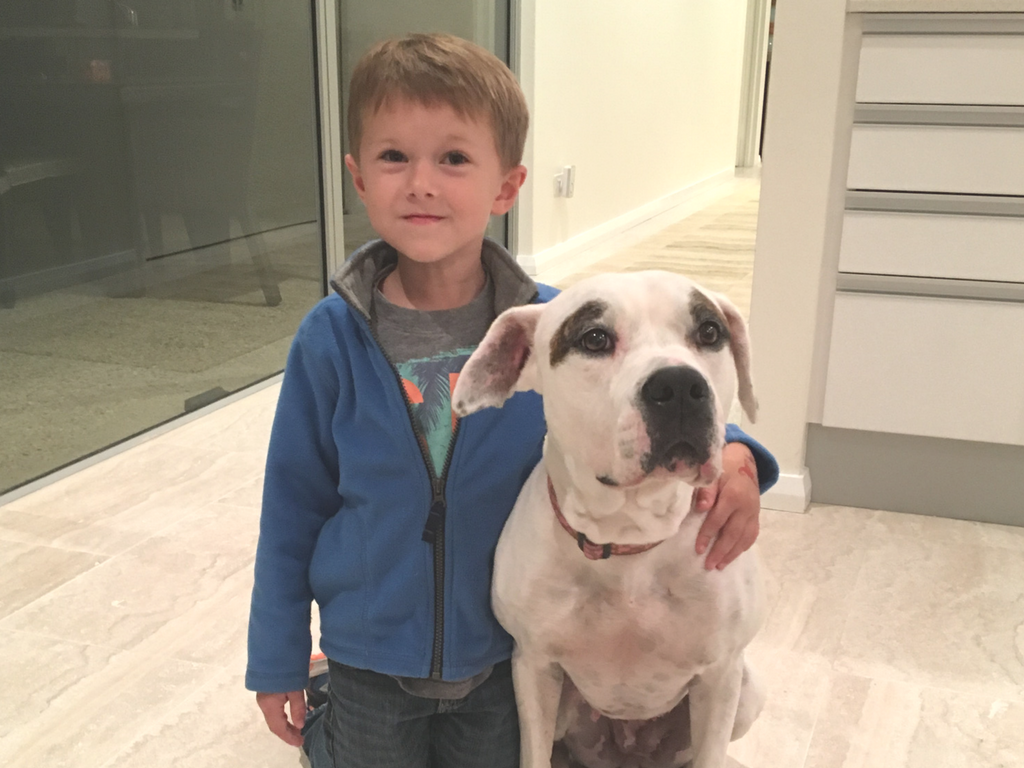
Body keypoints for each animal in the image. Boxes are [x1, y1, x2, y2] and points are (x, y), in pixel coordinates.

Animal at [452, 271, 766, 768]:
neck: (626, 538)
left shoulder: (720, 676)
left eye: (709, 332)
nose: (680, 385)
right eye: (594, 339)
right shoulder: (534, 667)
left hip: (747, 692)